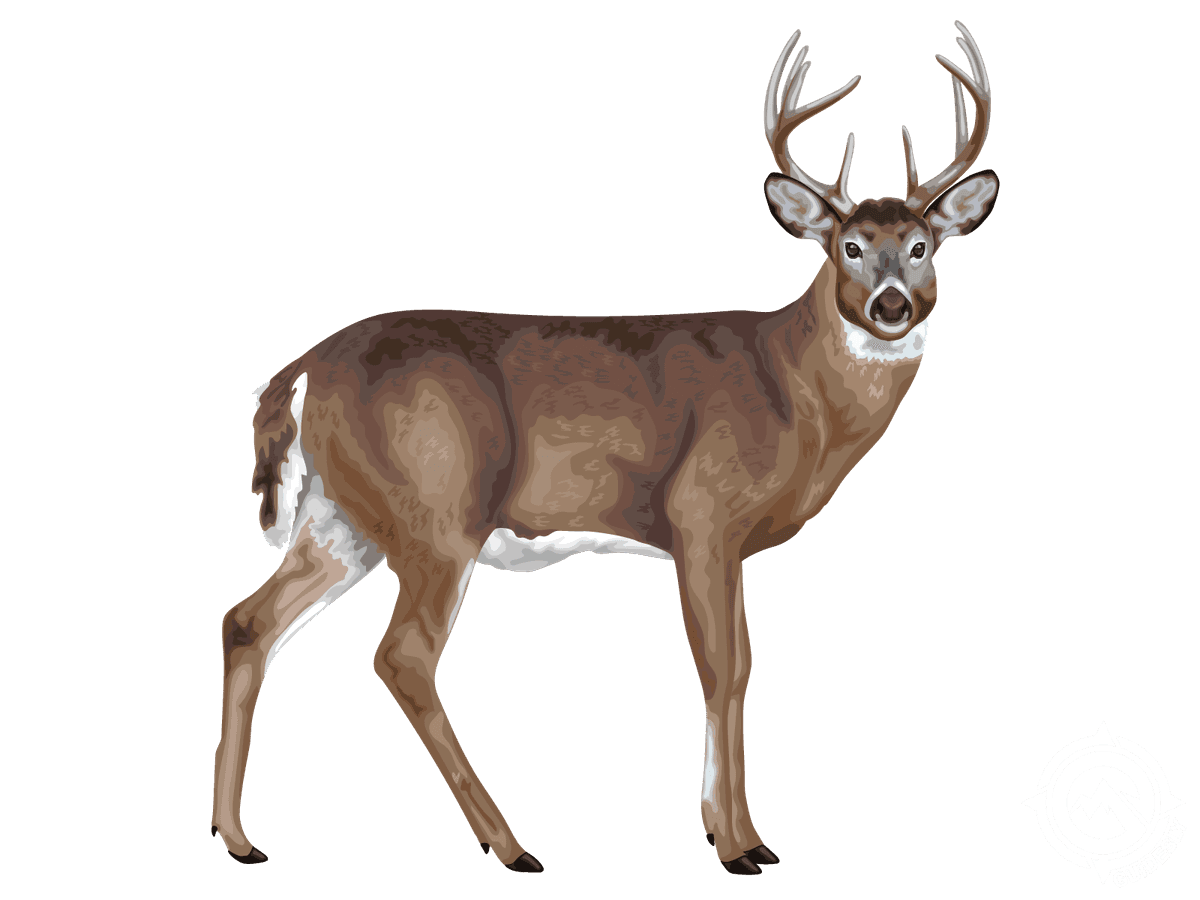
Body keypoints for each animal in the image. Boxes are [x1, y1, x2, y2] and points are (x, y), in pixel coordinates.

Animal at [212, 21, 998, 876]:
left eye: (921, 245)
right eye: (849, 246)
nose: (891, 306)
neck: (794, 387)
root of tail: (300, 369)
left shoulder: (729, 543)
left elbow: (742, 667)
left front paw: (734, 832)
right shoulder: (702, 512)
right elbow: (723, 668)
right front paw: (737, 846)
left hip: (343, 516)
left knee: (249, 623)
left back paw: (238, 837)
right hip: (437, 509)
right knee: (403, 656)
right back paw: (510, 844)